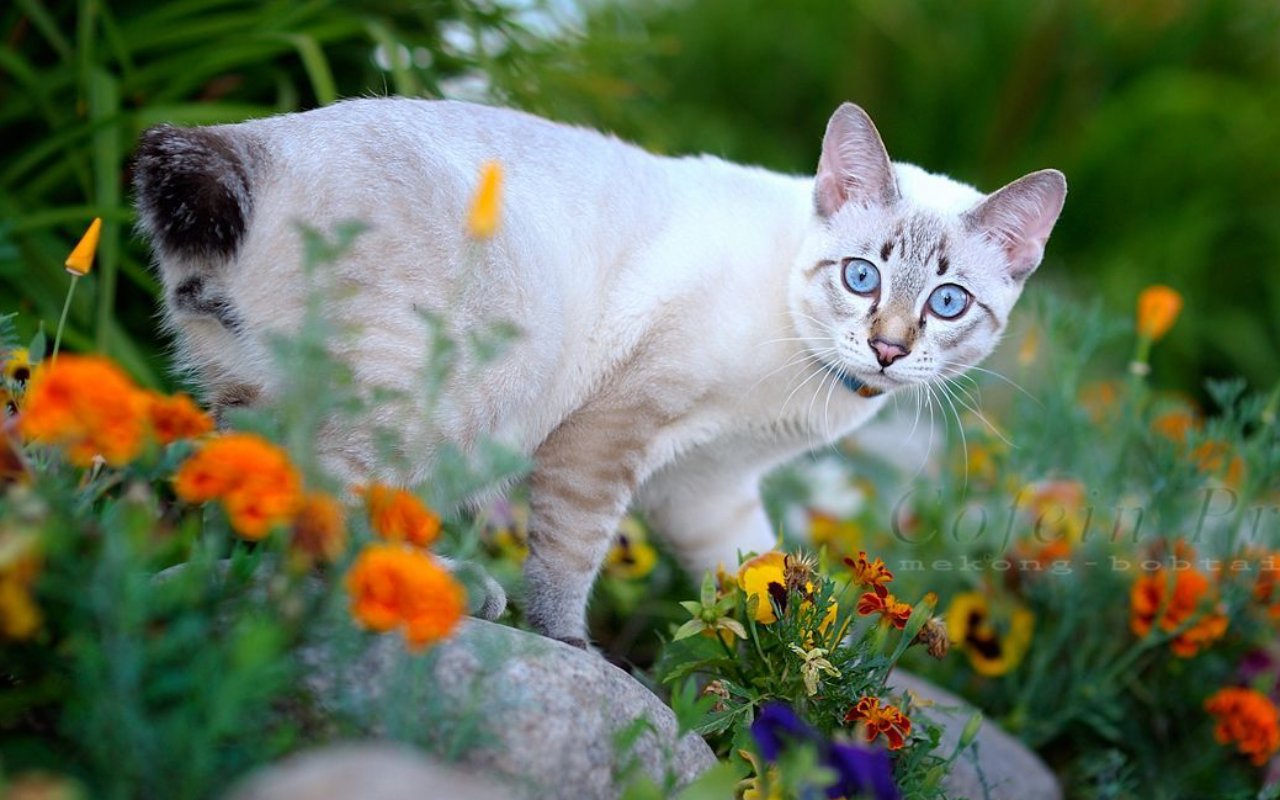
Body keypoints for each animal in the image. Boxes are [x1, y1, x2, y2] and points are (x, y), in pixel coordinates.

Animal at [135, 99, 1064, 650]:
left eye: (947, 302)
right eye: (862, 277)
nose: (888, 349)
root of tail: (248, 140)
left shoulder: (707, 484)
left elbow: (760, 571)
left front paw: (803, 668)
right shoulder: (611, 430)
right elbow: (570, 561)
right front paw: (571, 647)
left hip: (270, 399)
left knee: (243, 498)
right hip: (462, 395)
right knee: (314, 514)